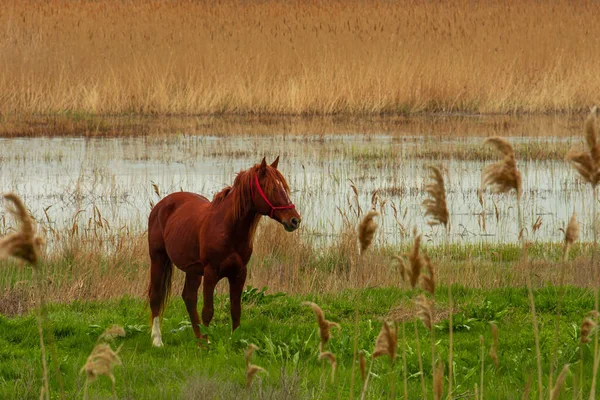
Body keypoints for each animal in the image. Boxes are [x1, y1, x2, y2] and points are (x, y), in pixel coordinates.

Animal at [146, 158, 300, 346]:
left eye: (283, 188)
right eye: (272, 189)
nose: (294, 220)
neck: (227, 228)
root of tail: (160, 206)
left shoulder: (239, 273)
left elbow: (235, 309)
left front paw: (233, 339)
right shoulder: (211, 273)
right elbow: (208, 310)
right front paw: (207, 342)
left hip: (192, 270)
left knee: (189, 297)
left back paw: (198, 337)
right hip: (158, 259)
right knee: (156, 296)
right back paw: (157, 340)